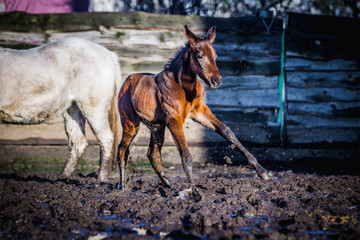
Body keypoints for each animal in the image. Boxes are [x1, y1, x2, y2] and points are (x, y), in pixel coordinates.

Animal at [0, 37, 122, 180]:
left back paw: (101, 178)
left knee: (106, 139)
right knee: (78, 143)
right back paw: (63, 177)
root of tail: (108, 54)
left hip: (93, 108)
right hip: (73, 109)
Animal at [116, 24, 268, 193]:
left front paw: (262, 171)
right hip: (131, 124)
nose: (216, 81)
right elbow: (186, 155)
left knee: (153, 154)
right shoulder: (174, 120)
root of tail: (127, 81)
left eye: (215, 55)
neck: (183, 87)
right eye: (200, 55)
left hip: (156, 127)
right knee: (122, 150)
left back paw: (168, 186)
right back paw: (122, 187)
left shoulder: (200, 111)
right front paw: (194, 191)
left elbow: (227, 131)